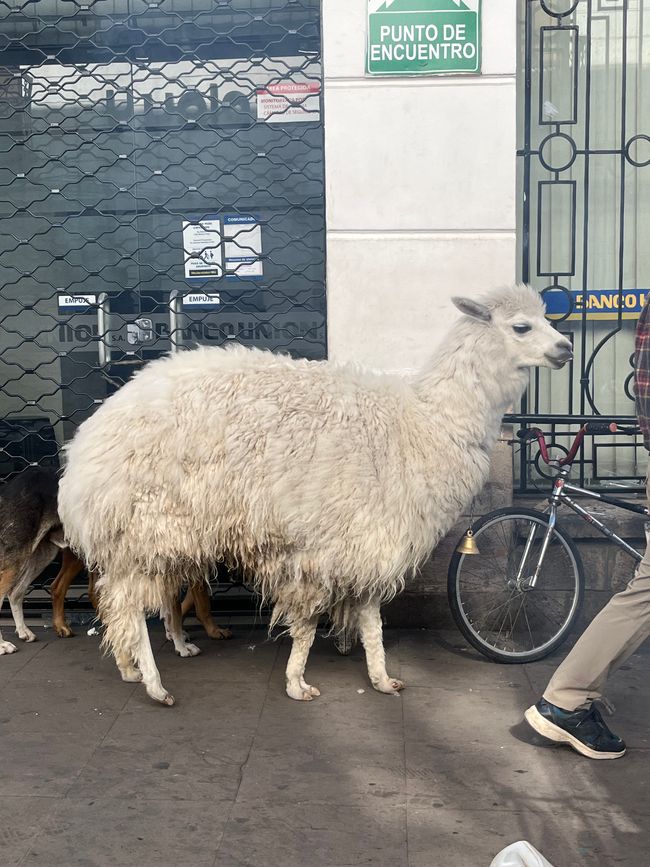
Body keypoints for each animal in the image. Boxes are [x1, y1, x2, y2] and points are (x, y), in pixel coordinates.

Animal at [0, 472, 230, 656]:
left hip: (41, 554)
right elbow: (180, 610)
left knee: (16, 593)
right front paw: (183, 646)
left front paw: (174, 636)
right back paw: (4, 644)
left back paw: (24, 631)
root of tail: (13, 483)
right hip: (20, 555)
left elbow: (170, 610)